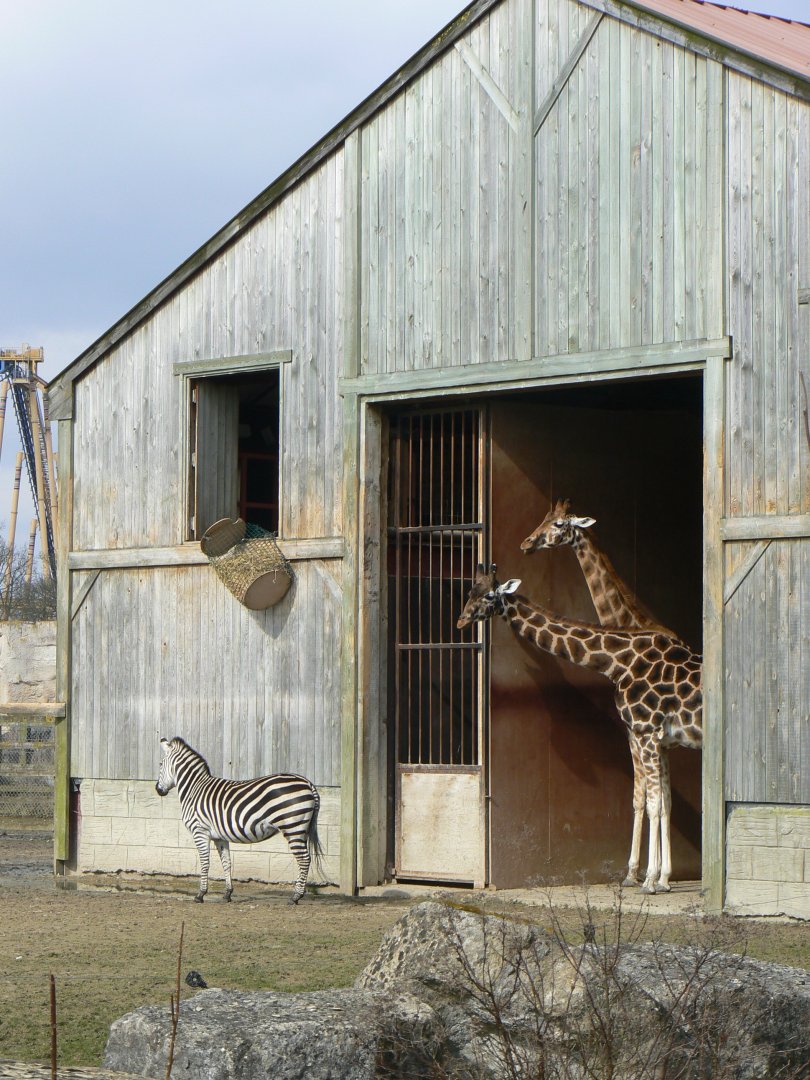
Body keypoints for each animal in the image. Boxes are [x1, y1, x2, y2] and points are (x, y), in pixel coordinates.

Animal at [155, 736, 323, 905]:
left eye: (161, 764)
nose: (158, 790)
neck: (194, 789)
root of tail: (307, 783)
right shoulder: (219, 836)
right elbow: (227, 862)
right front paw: (227, 893)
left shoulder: (200, 831)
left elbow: (205, 863)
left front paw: (200, 894)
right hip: (302, 829)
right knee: (305, 858)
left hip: (293, 827)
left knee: (304, 859)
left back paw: (295, 897)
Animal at [457, 564, 702, 893]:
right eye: (469, 591)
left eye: (488, 596)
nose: (460, 620)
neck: (618, 663)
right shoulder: (656, 740)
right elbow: (660, 802)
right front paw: (660, 879)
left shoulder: (645, 732)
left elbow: (652, 803)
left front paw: (649, 880)